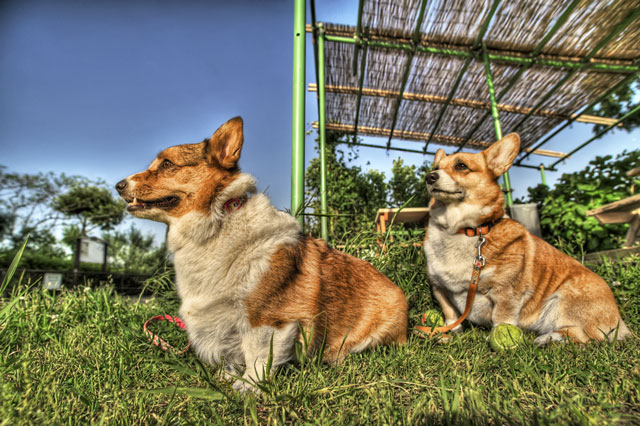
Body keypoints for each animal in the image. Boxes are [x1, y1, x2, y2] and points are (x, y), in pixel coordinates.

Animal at [115, 117, 408, 392]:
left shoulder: (266, 320)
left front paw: (248, 387)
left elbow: (257, 356)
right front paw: (229, 376)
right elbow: (230, 355)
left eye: (166, 164)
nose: (118, 185)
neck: (217, 222)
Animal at [424, 134, 632, 346]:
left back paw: (547, 338)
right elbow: (450, 313)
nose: (429, 177)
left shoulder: (506, 294)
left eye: (461, 166)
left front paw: (499, 337)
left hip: (563, 300)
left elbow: (501, 318)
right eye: (436, 167)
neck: (461, 230)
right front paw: (449, 331)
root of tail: (619, 321)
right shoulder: (440, 288)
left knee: (581, 336)